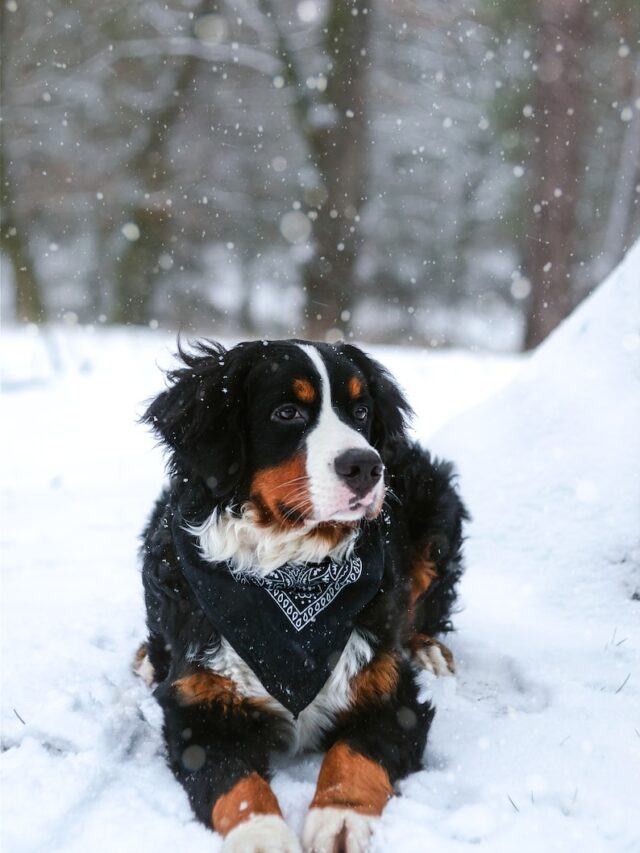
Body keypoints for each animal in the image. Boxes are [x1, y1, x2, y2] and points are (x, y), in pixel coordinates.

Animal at [136, 340, 464, 852]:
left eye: (361, 410)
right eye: (287, 412)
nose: (366, 466)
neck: (292, 570)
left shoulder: (391, 693)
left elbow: (355, 755)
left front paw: (341, 818)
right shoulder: (198, 710)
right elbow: (235, 783)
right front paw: (261, 834)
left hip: (434, 505)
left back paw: (428, 649)